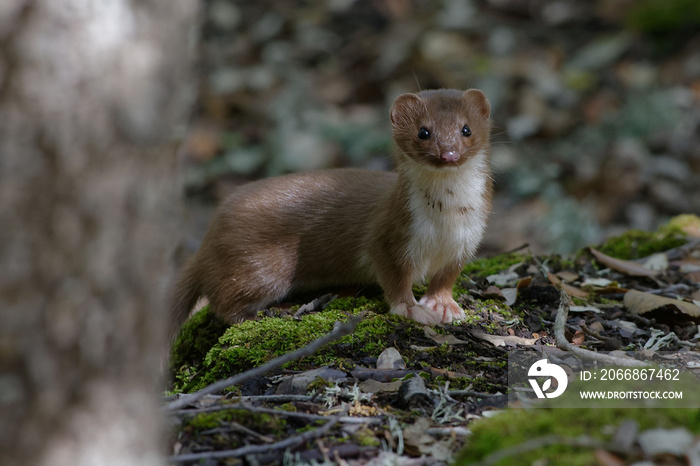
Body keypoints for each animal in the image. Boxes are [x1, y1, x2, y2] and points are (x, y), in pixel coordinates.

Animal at [168, 88, 492, 338]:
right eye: (423, 131)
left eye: (466, 129)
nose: (448, 153)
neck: (445, 221)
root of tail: (207, 241)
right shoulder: (390, 234)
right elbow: (394, 278)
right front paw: (413, 310)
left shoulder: (468, 239)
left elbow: (447, 277)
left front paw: (443, 306)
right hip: (257, 268)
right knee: (225, 303)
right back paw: (270, 311)